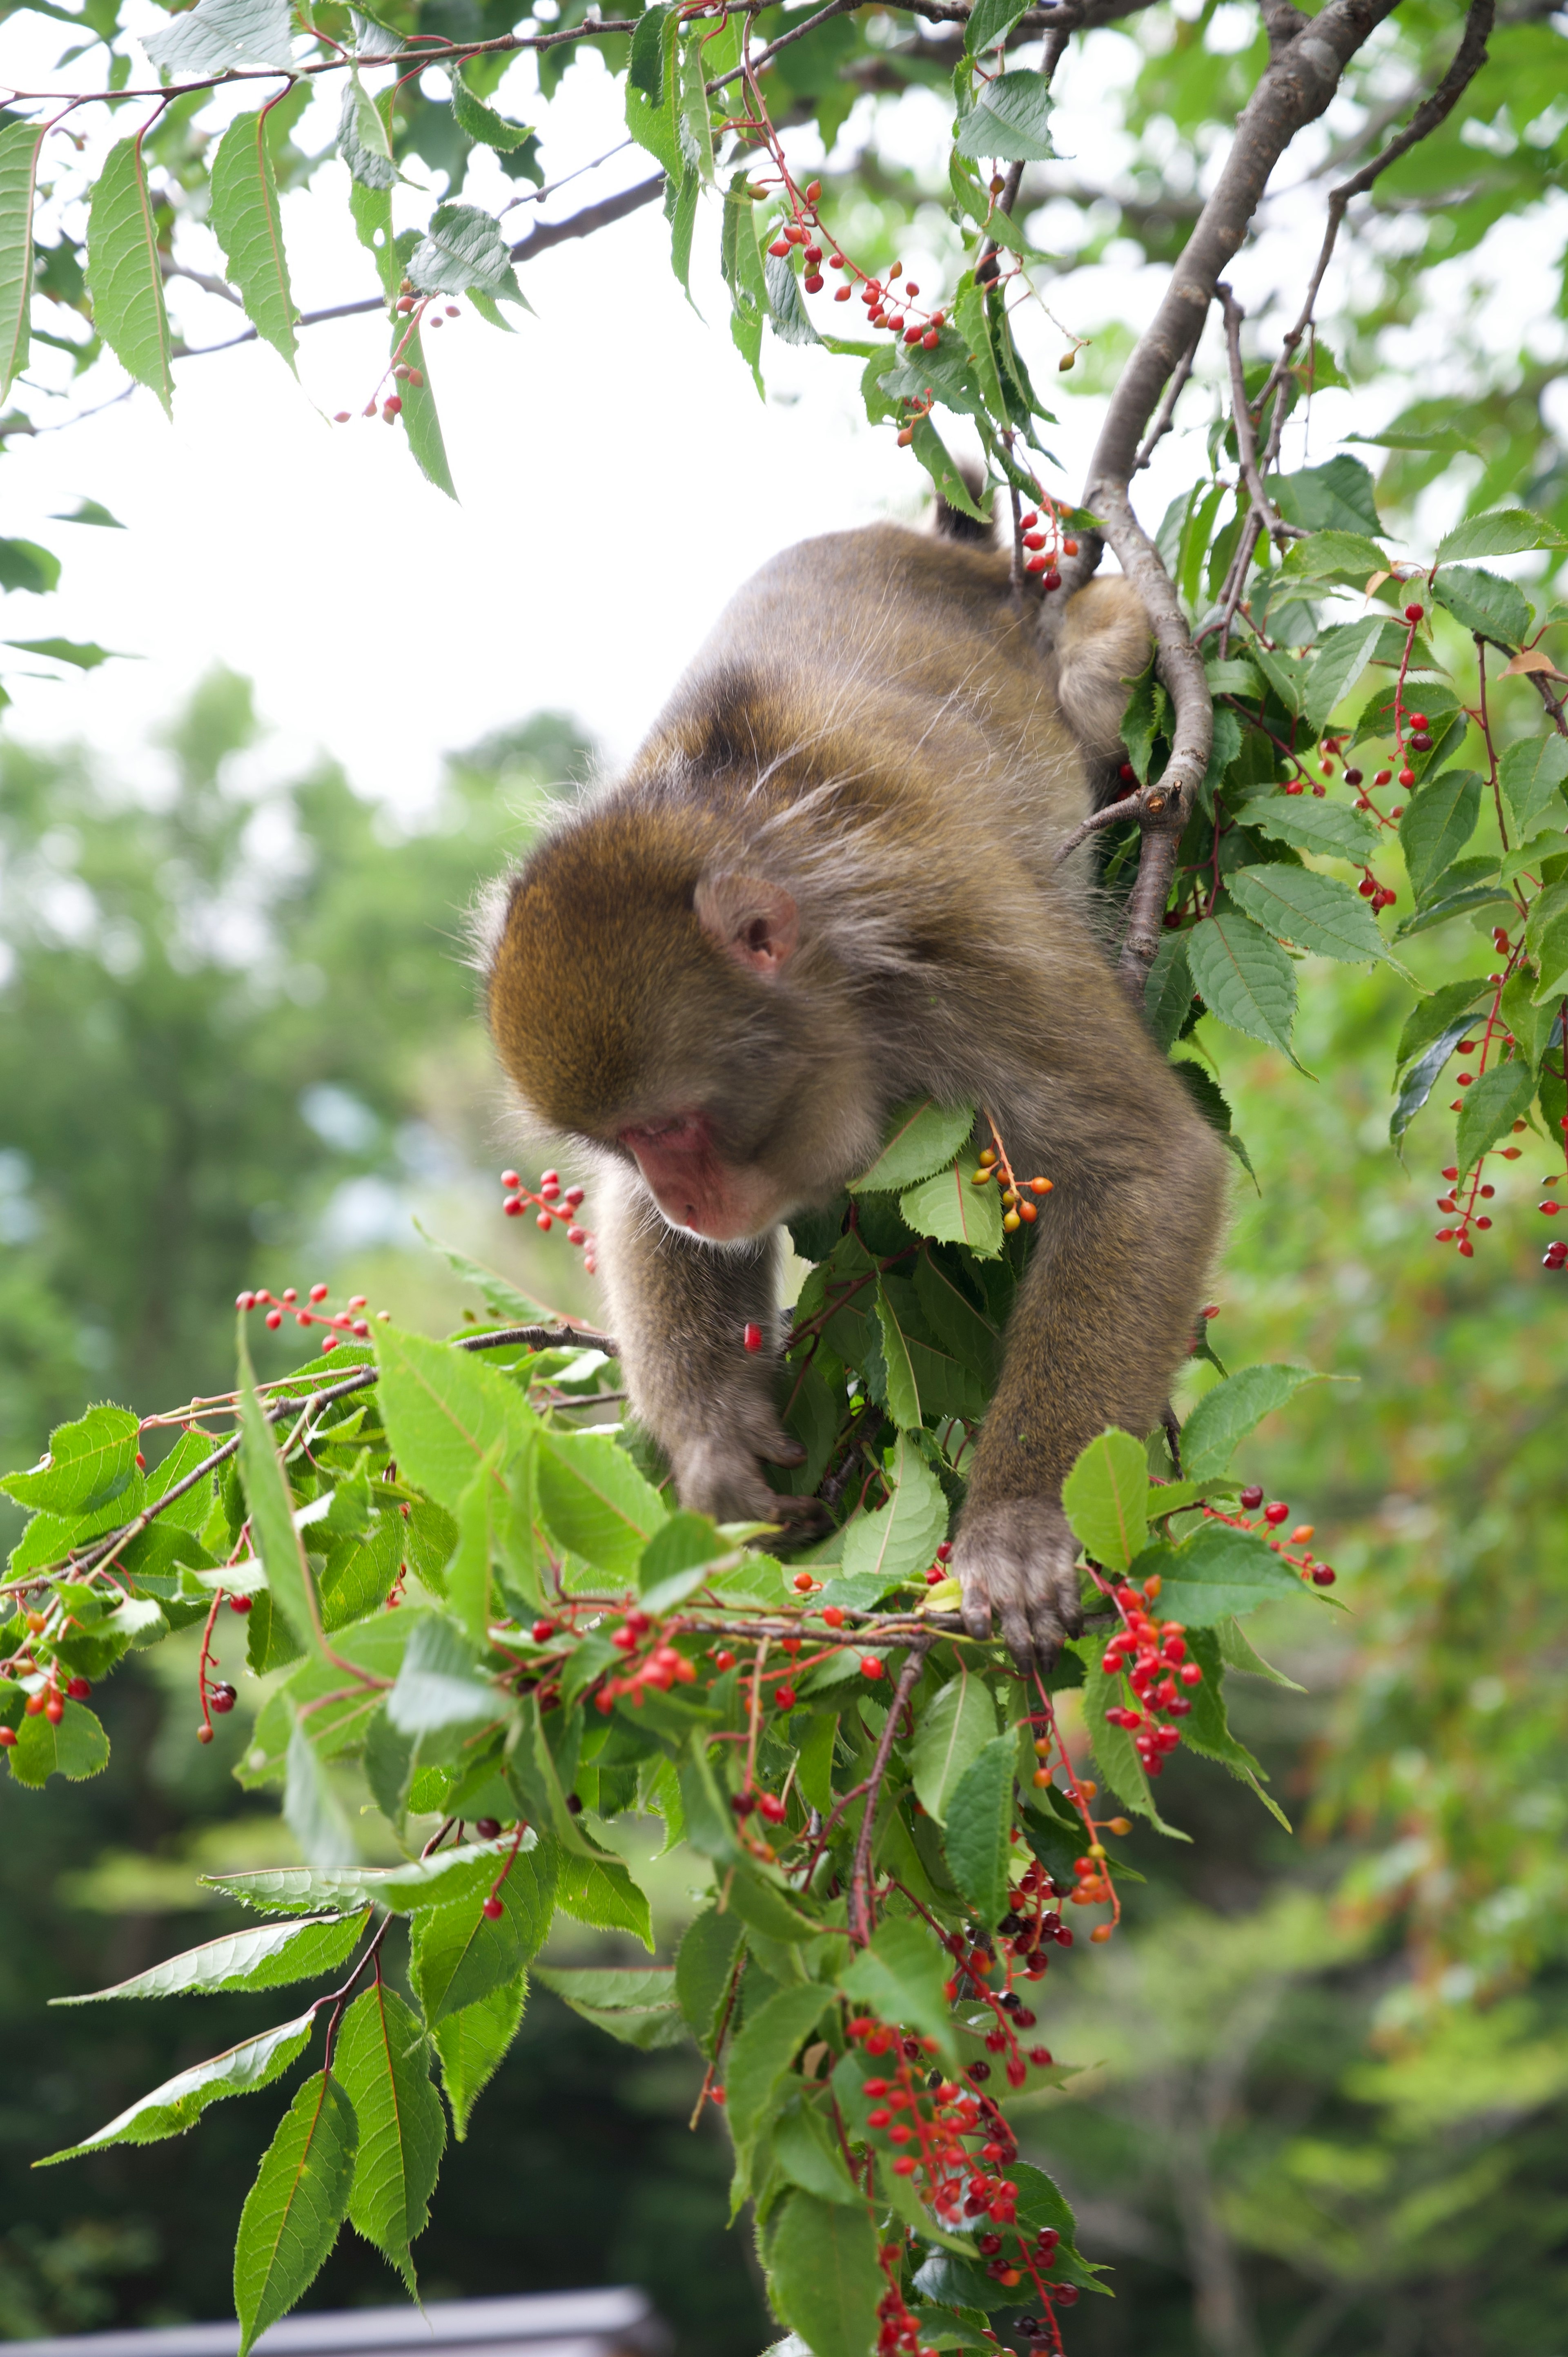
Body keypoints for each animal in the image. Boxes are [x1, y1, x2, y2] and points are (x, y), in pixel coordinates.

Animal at [483, 504, 1226, 1668]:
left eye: (676, 1125)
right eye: (627, 1143)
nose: (680, 1194)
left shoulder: (960, 937)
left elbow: (1145, 1166)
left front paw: (1019, 1522)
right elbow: (639, 1231)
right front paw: (715, 1440)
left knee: (1101, 652)